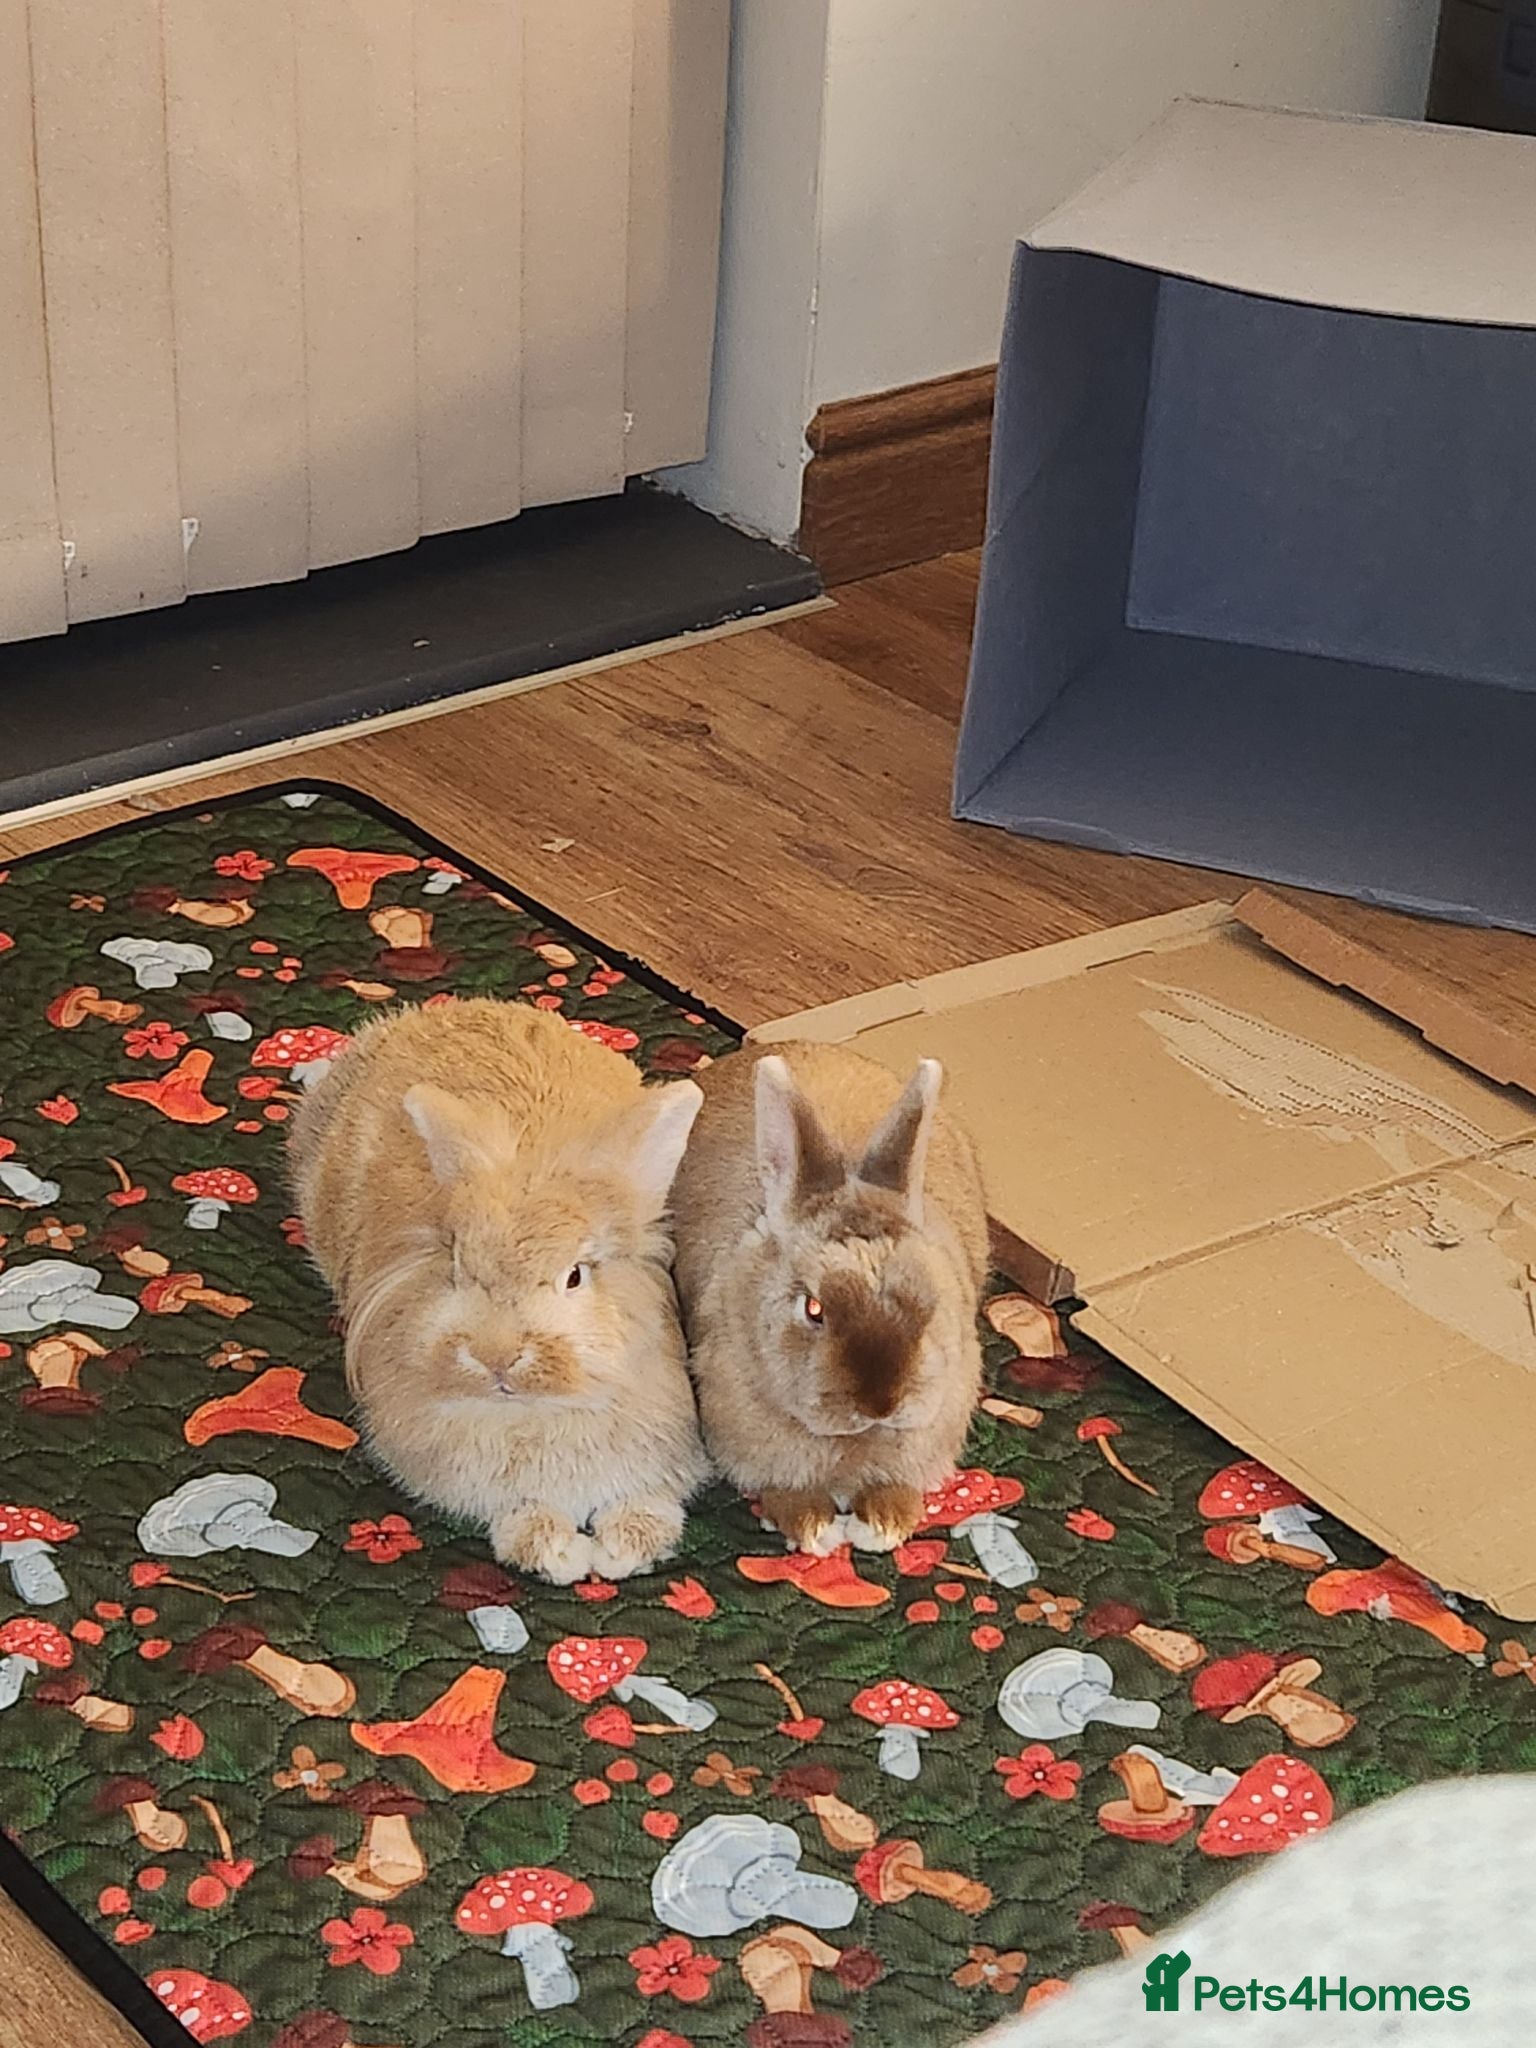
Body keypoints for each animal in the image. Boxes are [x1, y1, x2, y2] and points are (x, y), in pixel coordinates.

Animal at [289, 997, 708, 1585]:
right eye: (457, 1265)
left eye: (575, 1275)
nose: (496, 1357)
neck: (540, 1410)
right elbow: (523, 1510)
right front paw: (557, 1555)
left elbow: (649, 1502)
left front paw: (622, 1549)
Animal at [669, 1039, 989, 1556]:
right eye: (814, 1309)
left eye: (928, 1305)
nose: (881, 1403)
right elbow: (789, 1495)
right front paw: (815, 1530)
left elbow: (894, 1489)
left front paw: (882, 1525)